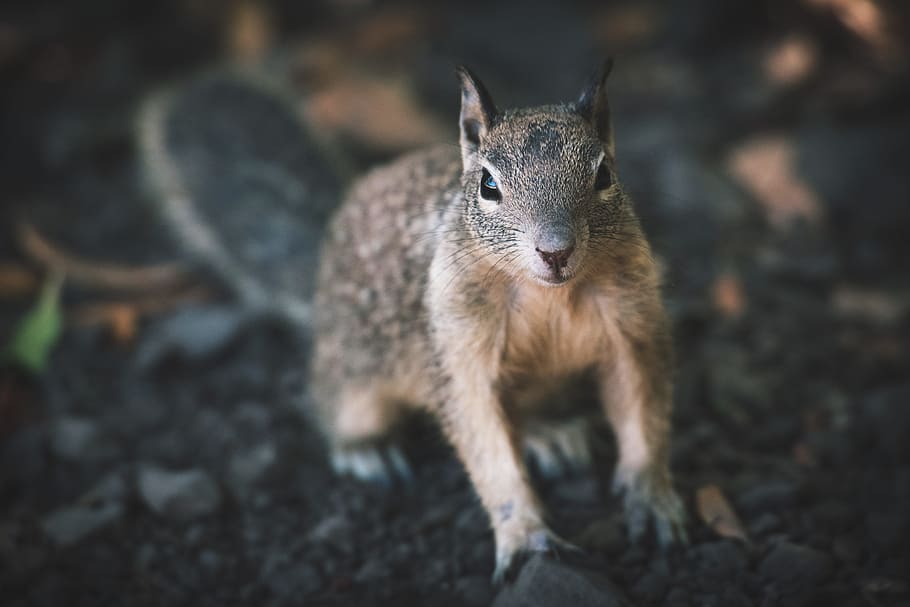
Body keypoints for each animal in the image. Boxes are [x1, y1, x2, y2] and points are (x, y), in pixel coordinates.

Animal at [137, 60, 687, 582]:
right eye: (488, 185)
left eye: (604, 175)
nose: (556, 251)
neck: (550, 296)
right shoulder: (457, 349)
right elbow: (486, 443)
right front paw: (526, 536)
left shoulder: (632, 325)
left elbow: (640, 408)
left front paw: (652, 499)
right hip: (353, 371)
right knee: (334, 404)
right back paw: (366, 449)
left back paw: (548, 431)